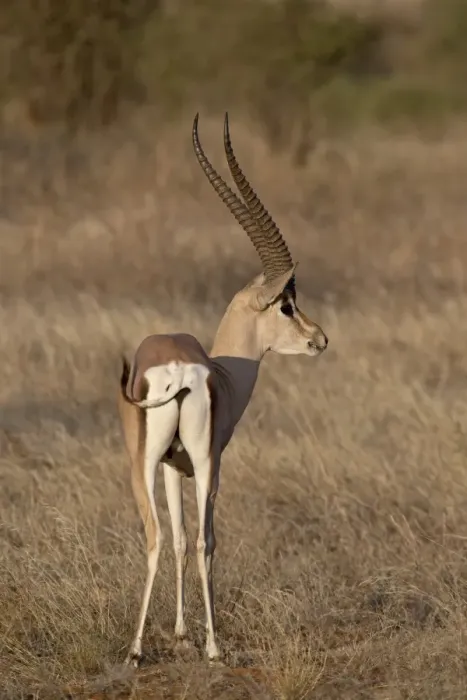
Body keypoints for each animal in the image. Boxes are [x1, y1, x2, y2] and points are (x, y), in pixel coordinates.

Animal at [118, 113, 328, 667]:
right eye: (286, 305)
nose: (319, 339)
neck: (225, 370)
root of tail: (176, 368)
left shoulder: (172, 466)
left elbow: (177, 538)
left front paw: (179, 633)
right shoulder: (207, 462)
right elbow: (201, 540)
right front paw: (202, 639)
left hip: (145, 462)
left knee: (157, 537)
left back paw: (137, 648)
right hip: (201, 461)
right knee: (201, 541)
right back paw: (207, 647)